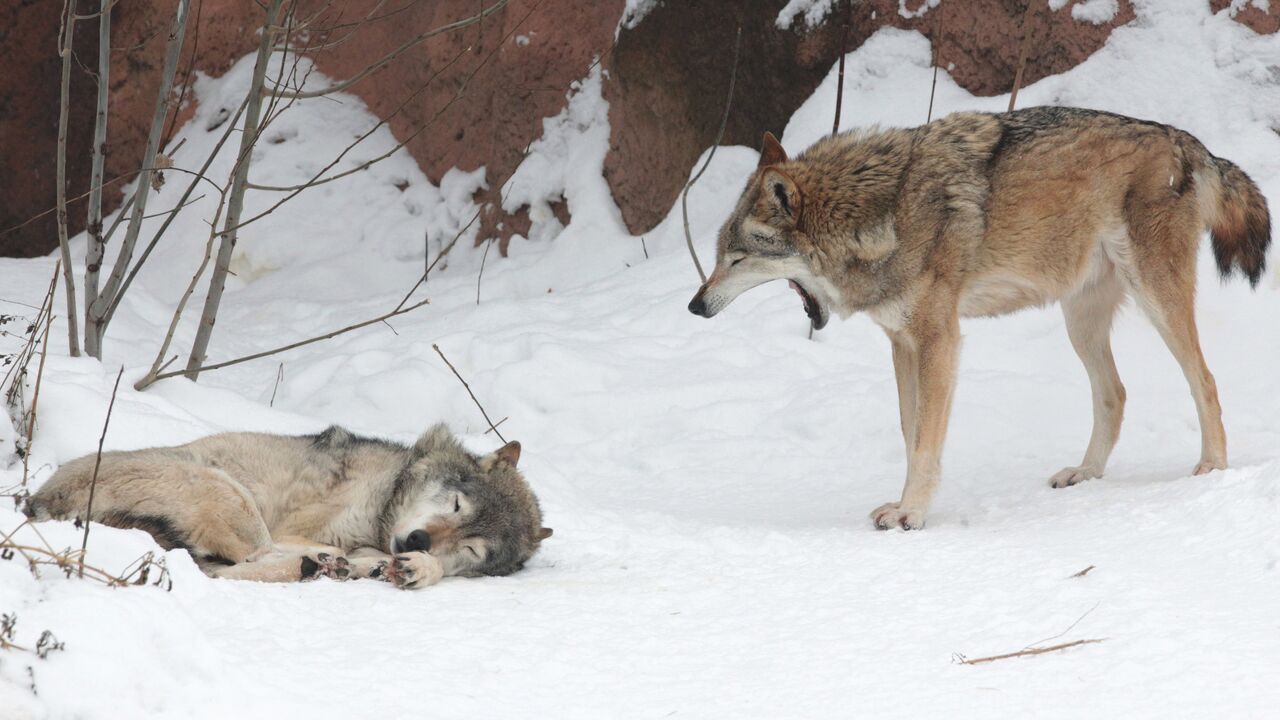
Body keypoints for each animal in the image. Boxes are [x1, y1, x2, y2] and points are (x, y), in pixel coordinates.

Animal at [26, 422, 550, 586]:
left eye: (473, 549)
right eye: (458, 504)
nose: (418, 539)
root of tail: (36, 504)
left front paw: (419, 567)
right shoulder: (297, 528)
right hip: (230, 494)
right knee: (250, 563)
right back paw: (318, 566)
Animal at [686, 107, 1264, 532]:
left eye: (736, 259)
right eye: (719, 257)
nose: (695, 305)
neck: (880, 215)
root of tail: (1185, 140)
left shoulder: (939, 339)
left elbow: (925, 441)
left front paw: (912, 515)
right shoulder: (902, 343)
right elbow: (911, 432)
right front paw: (903, 504)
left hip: (1156, 300)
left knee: (1205, 380)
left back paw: (1211, 468)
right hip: (1079, 321)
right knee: (1115, 394)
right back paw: (1086, 473)